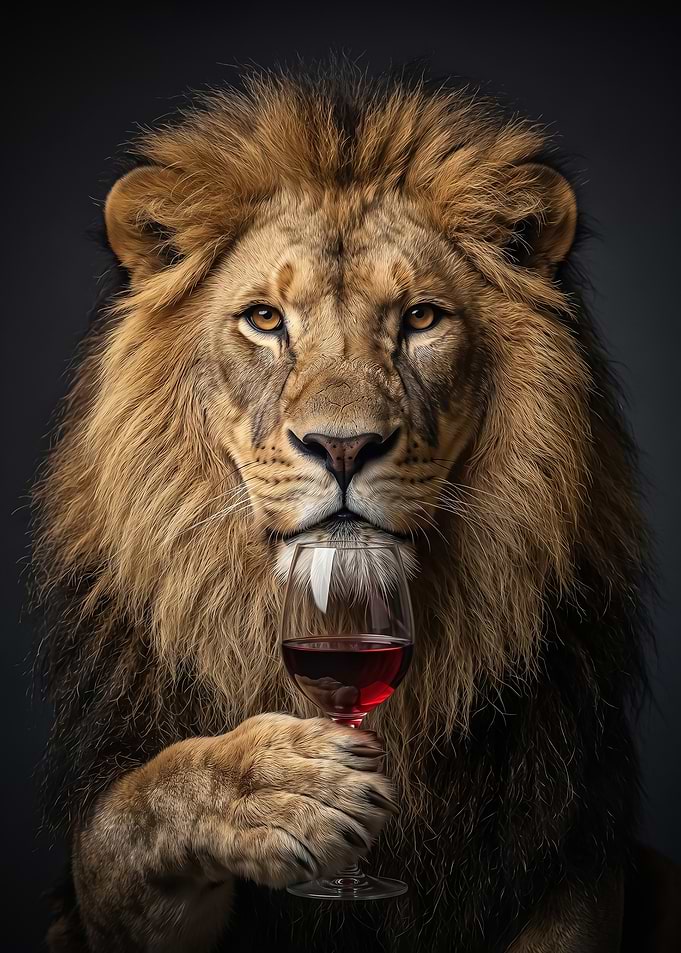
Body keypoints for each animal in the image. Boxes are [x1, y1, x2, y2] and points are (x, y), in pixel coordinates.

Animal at [33, 63, 653, 952]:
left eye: (420, 317)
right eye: (264, 319)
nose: (344, 446)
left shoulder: (571, 867)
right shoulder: (108, 885)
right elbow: (137, 808)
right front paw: (279, 785)